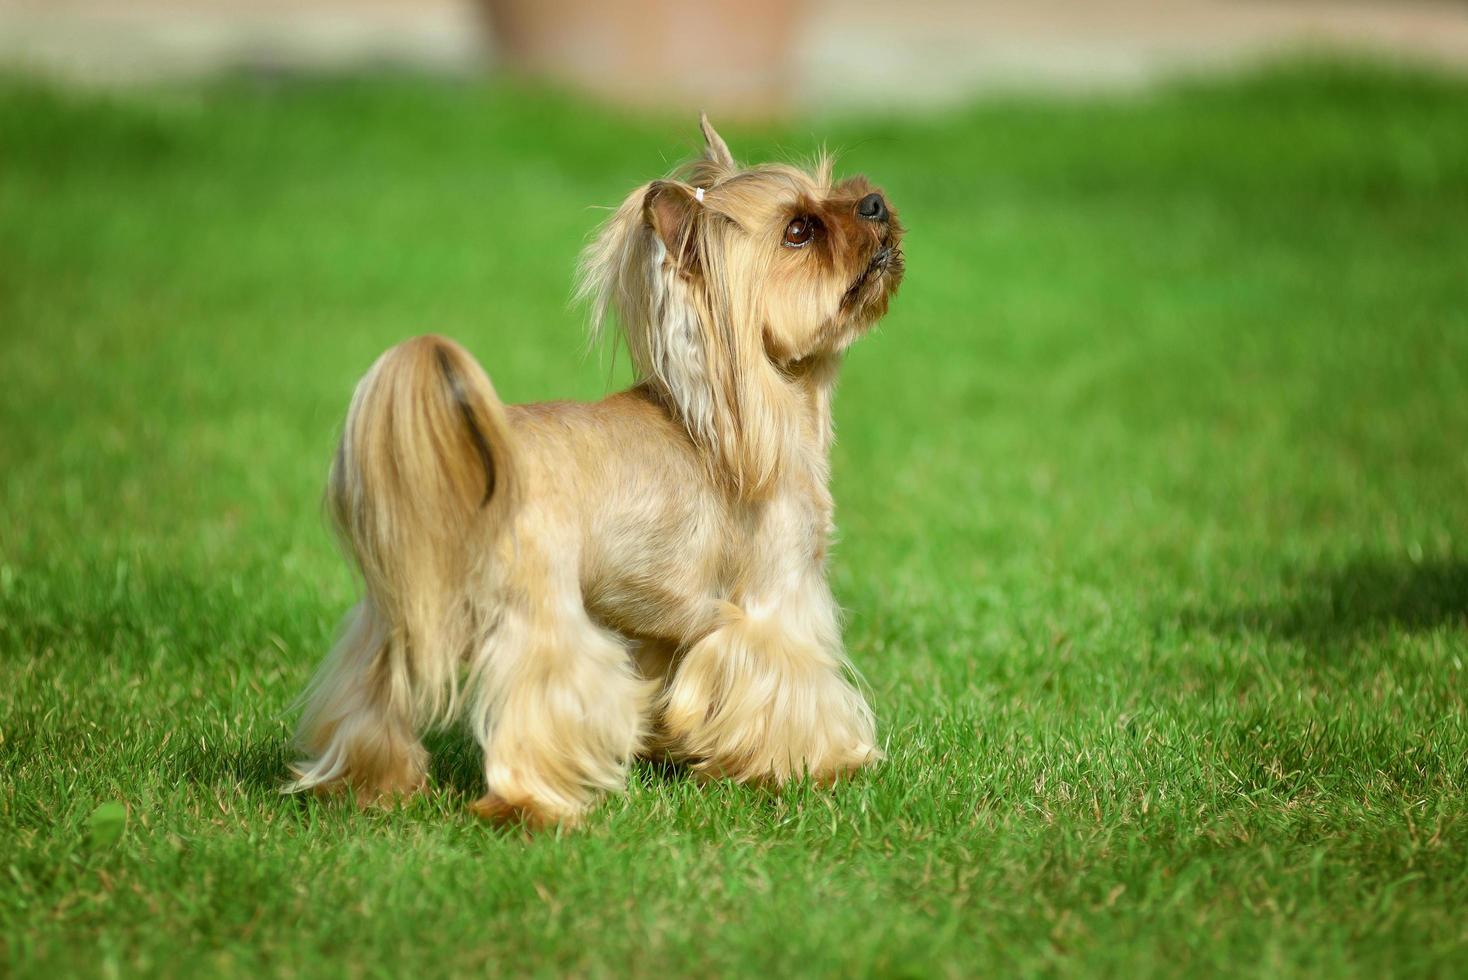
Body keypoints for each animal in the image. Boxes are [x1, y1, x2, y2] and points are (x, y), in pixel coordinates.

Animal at [284, 115, 898, 827]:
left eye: (837, 190)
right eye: (800, 230)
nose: (874, 202)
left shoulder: (660, 626)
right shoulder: (777, 597)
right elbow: (797, 684)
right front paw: (823, 765)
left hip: (394, 617)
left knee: (368, 697)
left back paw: (365, 787)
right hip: (541, 614)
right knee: (535, 704)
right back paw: (532, 807)